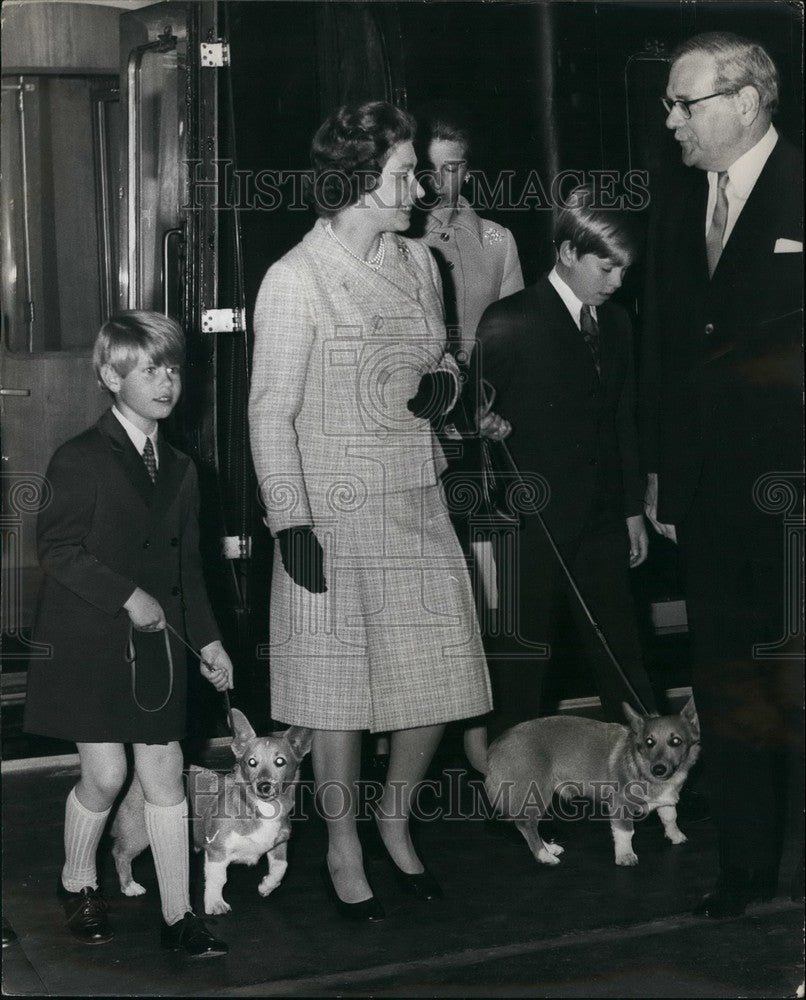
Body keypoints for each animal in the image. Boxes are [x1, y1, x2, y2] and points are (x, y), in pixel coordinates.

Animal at [112, 712, 314, 916]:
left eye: (280, 761)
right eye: (251, 762)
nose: (264, 786)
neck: (261, 807)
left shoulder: (279, 844)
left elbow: (281, 867)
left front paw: (266, 886)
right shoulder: (217, 852)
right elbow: (219, 879)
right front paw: (215, 903)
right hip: (139, 834)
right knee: (120, 854)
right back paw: (130, 886)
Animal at [486, 700, 700, 864]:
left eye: (676, 741)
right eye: (649, 742)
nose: (659, 769)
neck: (641, 764)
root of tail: (495, 747)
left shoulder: (665, 802)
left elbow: (670, 818)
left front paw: (676, 836)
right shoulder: (620, 805)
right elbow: (625, 832)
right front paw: (625, 856)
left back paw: (549, 849)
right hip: (536, 793)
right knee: (526, 825)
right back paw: (544, 856)